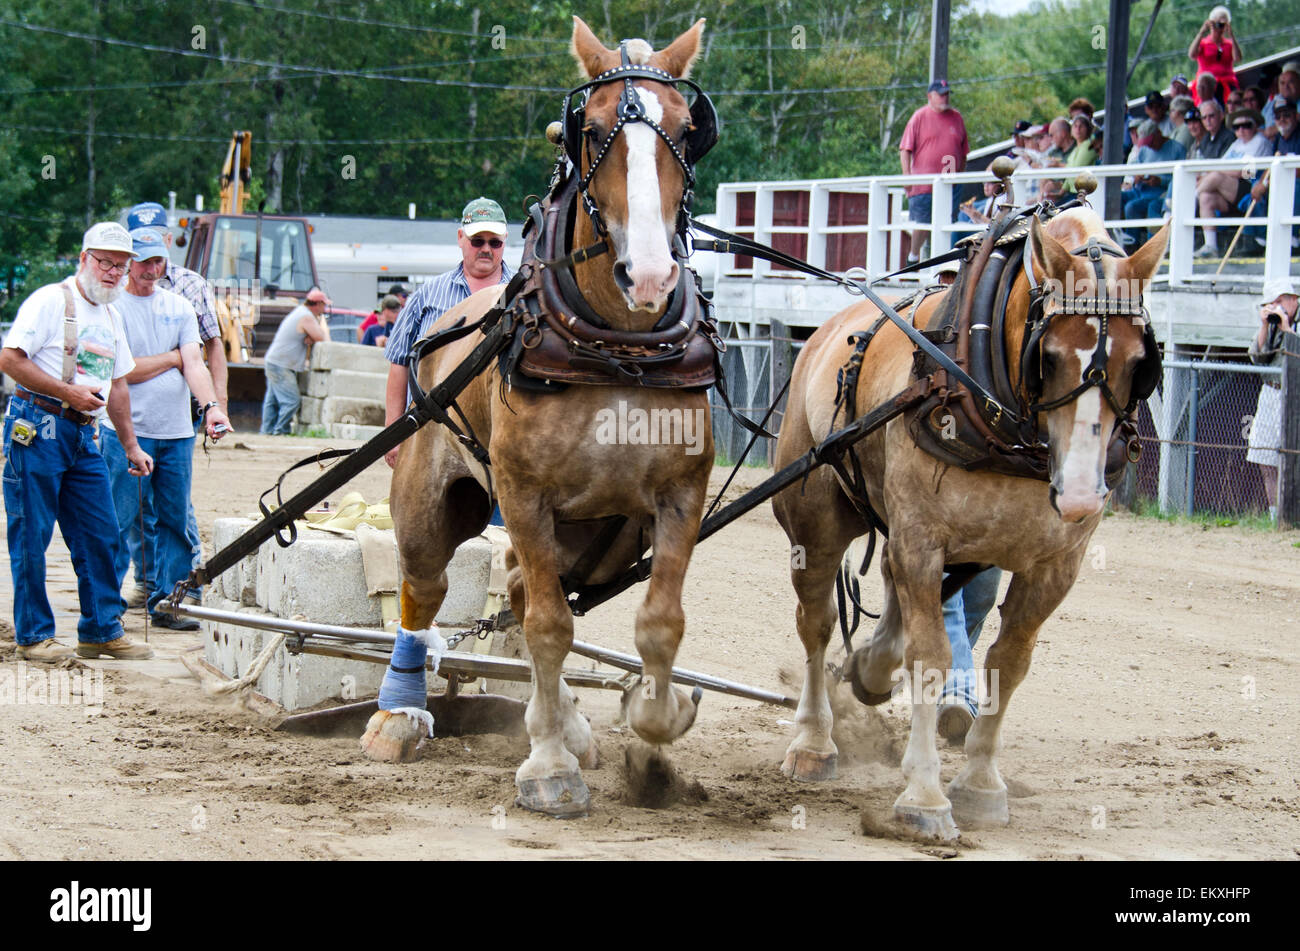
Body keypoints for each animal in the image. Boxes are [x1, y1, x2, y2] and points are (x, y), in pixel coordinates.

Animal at [358, 16, 716, 819]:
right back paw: (400, 715)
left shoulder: (679, 496)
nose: (650, 274)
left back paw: (570, 723)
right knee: (427, 590)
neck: (618, 348)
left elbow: (661, 622)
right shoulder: (524, 495)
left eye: (688, 129)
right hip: (436, 498)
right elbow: (550, 627)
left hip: (598, 539)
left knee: (527, 590)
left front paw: (654, 727)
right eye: (591, 131)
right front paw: (549, 766)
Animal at [772, 205, 1168, 839]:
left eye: (1139, 362)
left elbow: (1010, 662)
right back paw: (814, 739)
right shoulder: (922, 539)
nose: (1081, 494)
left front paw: (980, 782)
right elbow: (931, 657)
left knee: (892, 598)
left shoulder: (1056, 565)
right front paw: (925, 795)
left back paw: (871, 668)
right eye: (1048, 356)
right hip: (817, 523)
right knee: (818, 622)